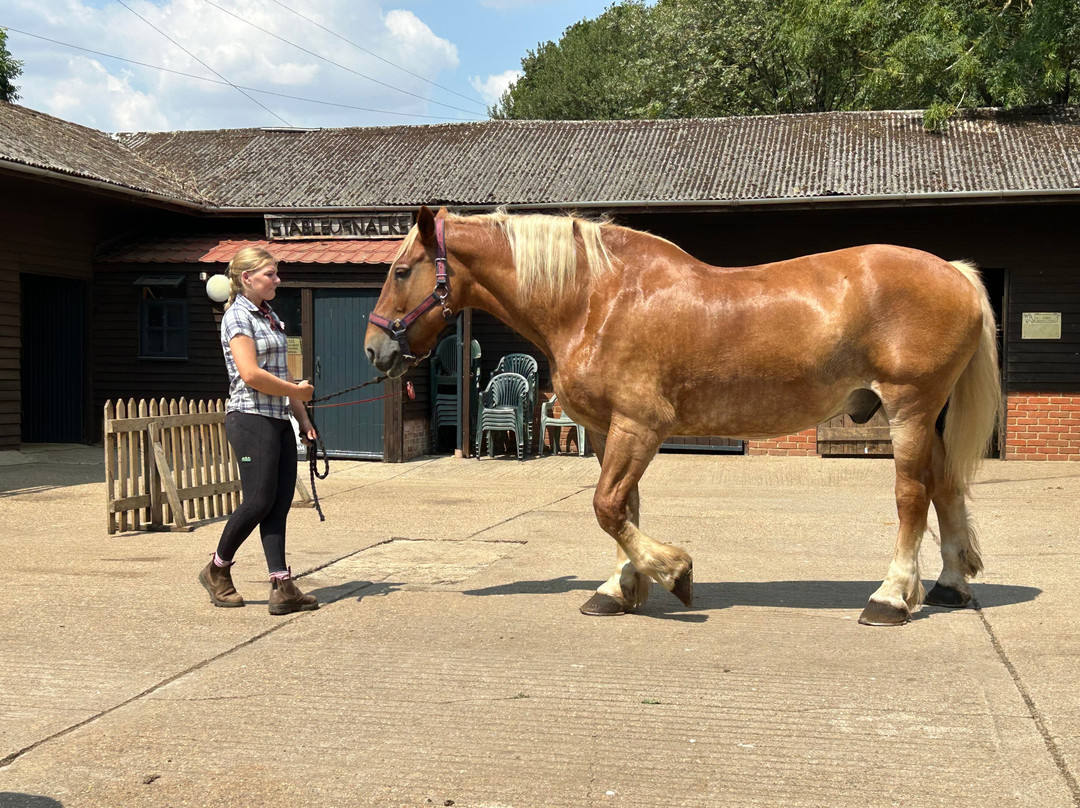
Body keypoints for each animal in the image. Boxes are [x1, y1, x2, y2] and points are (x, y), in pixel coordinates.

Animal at [365, 206, 1001, 626]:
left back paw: (890, 597)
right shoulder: (607, 431)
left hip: (910, 408)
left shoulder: (641, 426)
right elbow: (624, 508)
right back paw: (948, 586)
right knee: (945, 488)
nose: (375, 350)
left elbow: (608, 507)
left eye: (401, 270)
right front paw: (619, 588)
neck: (597, 298)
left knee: (913, 495)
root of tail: (955, 273)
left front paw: (673, 572)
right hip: (927, 416)